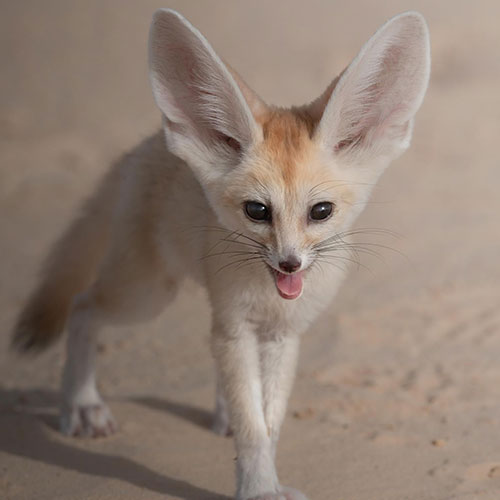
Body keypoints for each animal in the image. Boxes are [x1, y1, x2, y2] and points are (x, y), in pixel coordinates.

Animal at [10, 8, 430, 500]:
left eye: (321, 211)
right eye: (257, 211)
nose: (289, 263)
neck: (269, 297)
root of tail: (147, 145)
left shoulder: (282, 333)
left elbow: (269, 421)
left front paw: (263, 470)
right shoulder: (237, 326)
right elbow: (254, 427)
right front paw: (260, 487)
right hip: (146, 294)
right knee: (82, 306)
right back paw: (82, 404)